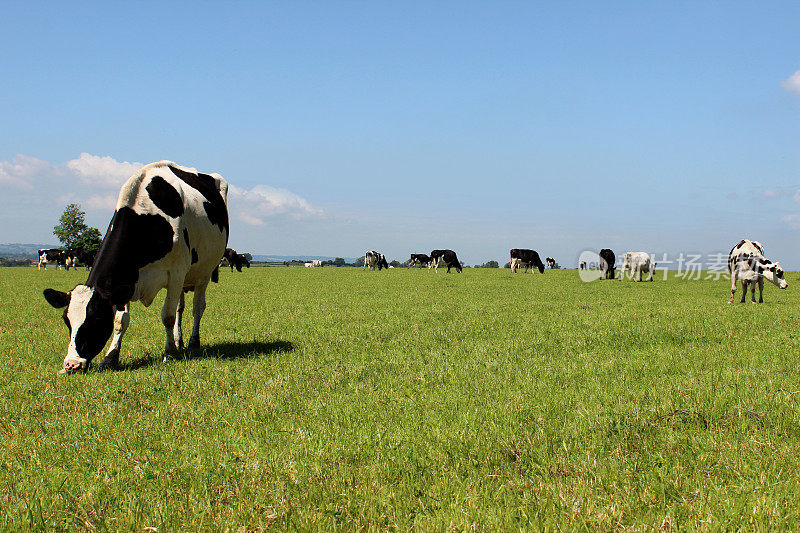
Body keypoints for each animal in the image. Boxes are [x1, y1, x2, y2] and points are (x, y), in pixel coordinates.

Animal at [43, 160, 227, 372]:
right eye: (67, 321)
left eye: (97, 318)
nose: (72, 364)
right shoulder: (124, 281)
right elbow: (120, 321)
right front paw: (111, 357)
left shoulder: (176, 272)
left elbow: (167, 316)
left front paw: (170, 353)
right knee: (180, 307)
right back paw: (178, 340)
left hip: (203, 272)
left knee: (197, 307)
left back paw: (192, 342)